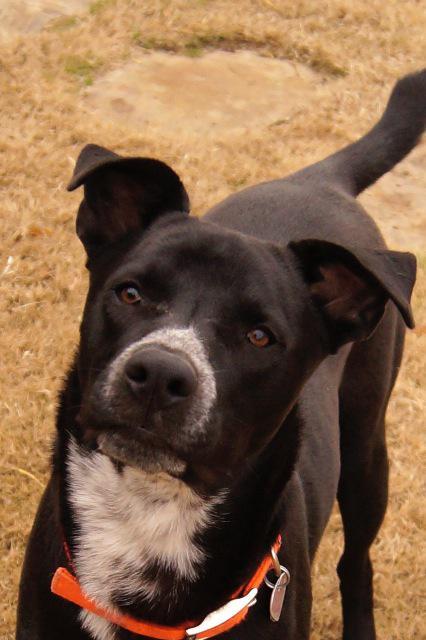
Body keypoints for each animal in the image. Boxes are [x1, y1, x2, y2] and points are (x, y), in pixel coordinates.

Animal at [15, 70, 422, 640]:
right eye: (130, 293)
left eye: (260, 336)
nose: (158, 374)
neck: (149, 520)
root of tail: (321, 180)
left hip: (366, 452)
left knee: (356, 560)